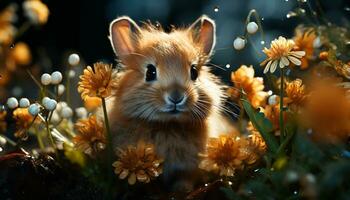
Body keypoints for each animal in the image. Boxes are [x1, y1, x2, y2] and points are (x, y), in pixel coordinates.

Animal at [108, 15, 237, 191]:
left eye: (194, 72)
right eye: (150, 72)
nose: (176, 97)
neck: (168, 124)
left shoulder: (188, 170)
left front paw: (182, 190)